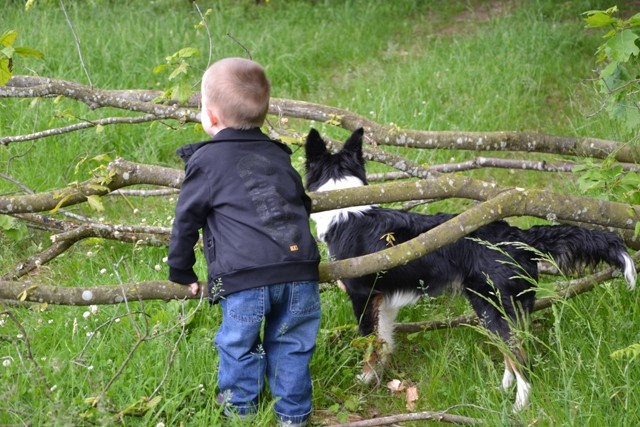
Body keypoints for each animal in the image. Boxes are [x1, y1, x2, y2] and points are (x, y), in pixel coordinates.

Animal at [304, 128, 636, 412]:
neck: (345, 212)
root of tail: (519, 235)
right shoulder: (383, 302)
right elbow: (383, 343)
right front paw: (378, 379)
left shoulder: (362, 297)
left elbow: (368, 345)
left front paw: (363, 382)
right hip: (501, 308)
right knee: (512, 354)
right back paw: (502, 390)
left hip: (491, 308)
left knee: (521, 360)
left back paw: (518, 407)